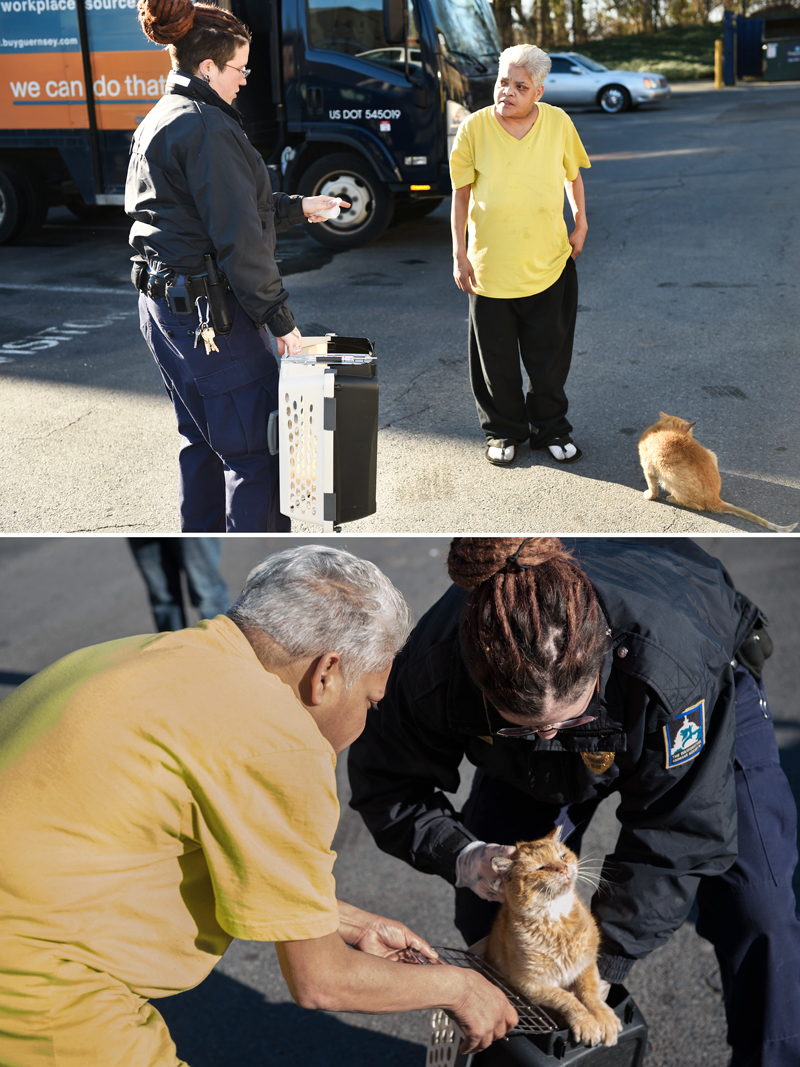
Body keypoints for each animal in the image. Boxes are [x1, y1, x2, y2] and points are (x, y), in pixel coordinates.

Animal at [486, 823, 622, 1049]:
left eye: (562, 856)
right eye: (540, 868)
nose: (563, 868)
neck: (557, 921)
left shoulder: (586, 964)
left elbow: (591, 994)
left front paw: (604, 1017)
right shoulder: (529, 984)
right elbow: (566, 998)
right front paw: (586, 1022)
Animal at [635, 409, 797, 531]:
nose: (692, 436)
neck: (663, 429)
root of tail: (716, 498)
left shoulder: (647, 467)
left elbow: (653, 489)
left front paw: (649, 495)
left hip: (668, 477)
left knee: (698, 506)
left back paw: (672, 499)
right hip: (712, 454)